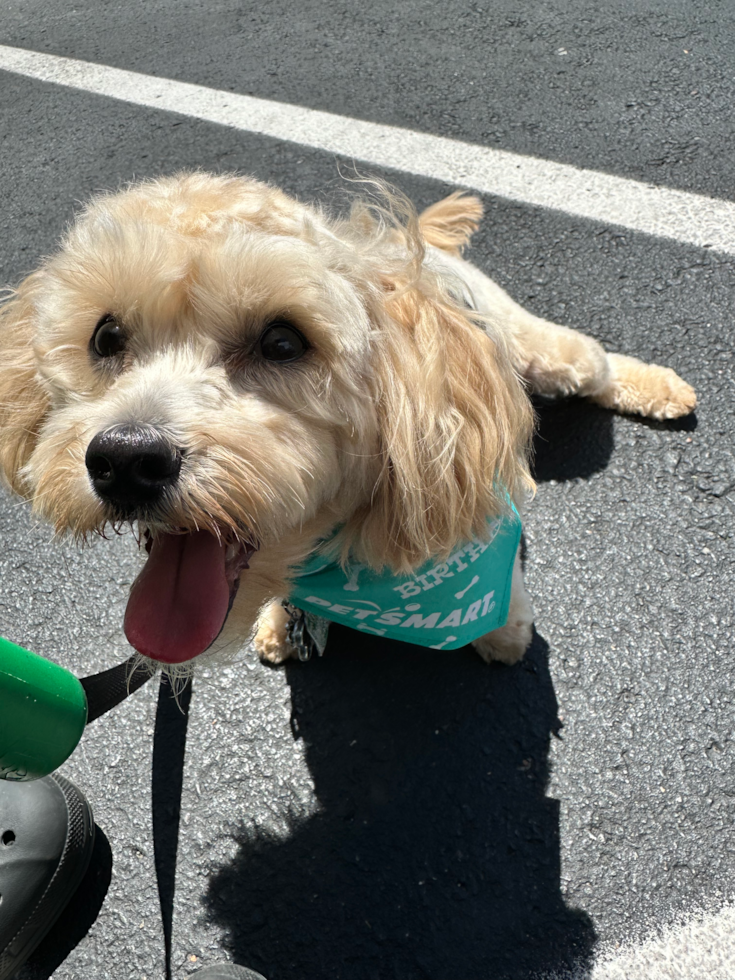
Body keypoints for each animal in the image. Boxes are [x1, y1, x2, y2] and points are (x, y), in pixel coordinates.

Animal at [0, 172, 696, 668]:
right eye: (106, 337)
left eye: (283, 342)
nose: (124, 460)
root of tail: (417, 248)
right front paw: (282, 621)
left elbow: (510, 607)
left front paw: (505, 632)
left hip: (549, 354)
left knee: (594, 360)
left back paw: (660, 387)